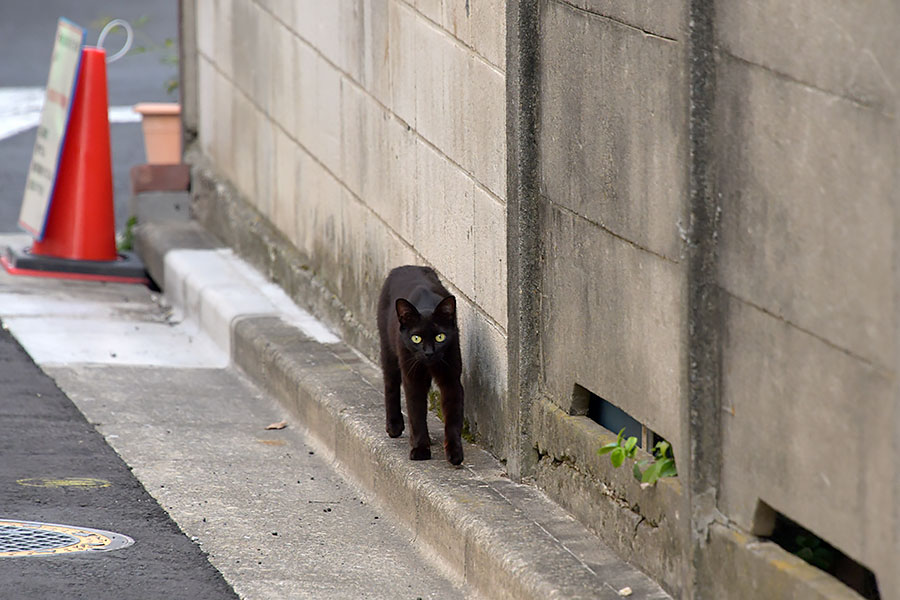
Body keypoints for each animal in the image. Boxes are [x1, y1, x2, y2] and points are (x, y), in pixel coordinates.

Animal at [378, 264, 468, 466]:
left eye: (440, 337)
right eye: (416, 338)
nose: (428, 352)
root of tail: (404, 267)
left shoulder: (451, 378)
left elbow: (453, 417)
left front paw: (454, 452)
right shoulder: (413, 378)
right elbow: (416, 413)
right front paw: (420, 449)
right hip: (389, 351)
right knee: (390, 384)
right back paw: (394, 425)